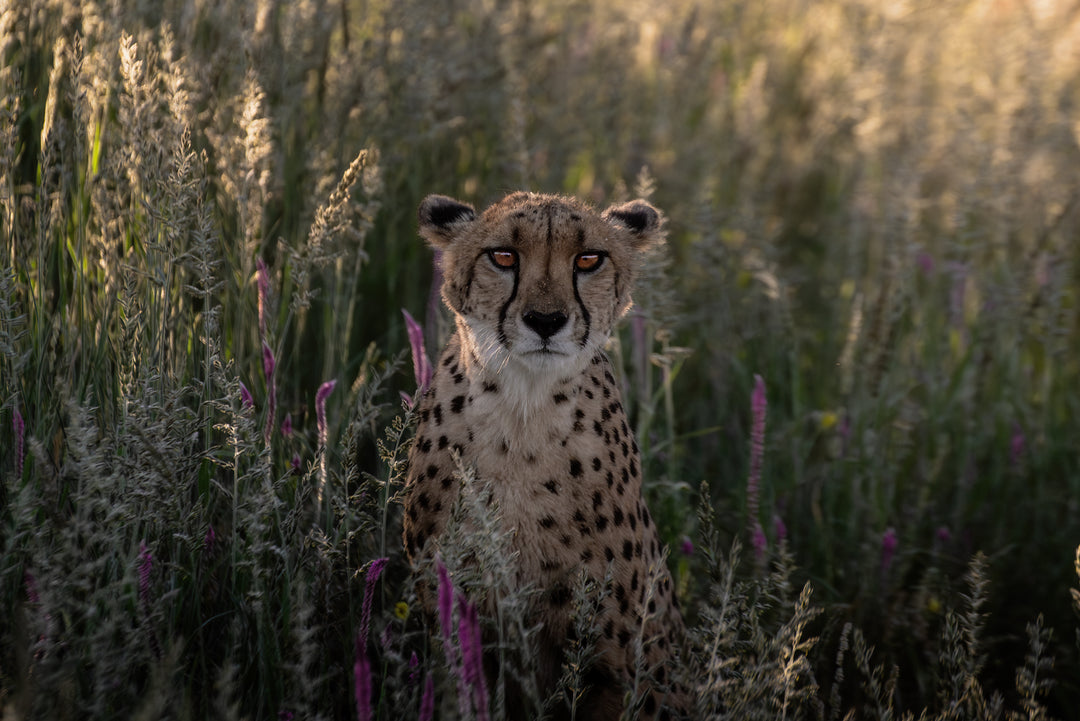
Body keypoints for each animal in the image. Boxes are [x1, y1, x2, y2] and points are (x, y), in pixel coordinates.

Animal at [402, 191, 687, 720]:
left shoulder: (610, 662)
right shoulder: (455, 619)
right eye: (503, 256)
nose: (546, 321)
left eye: (589, 259)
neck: (524, 410)